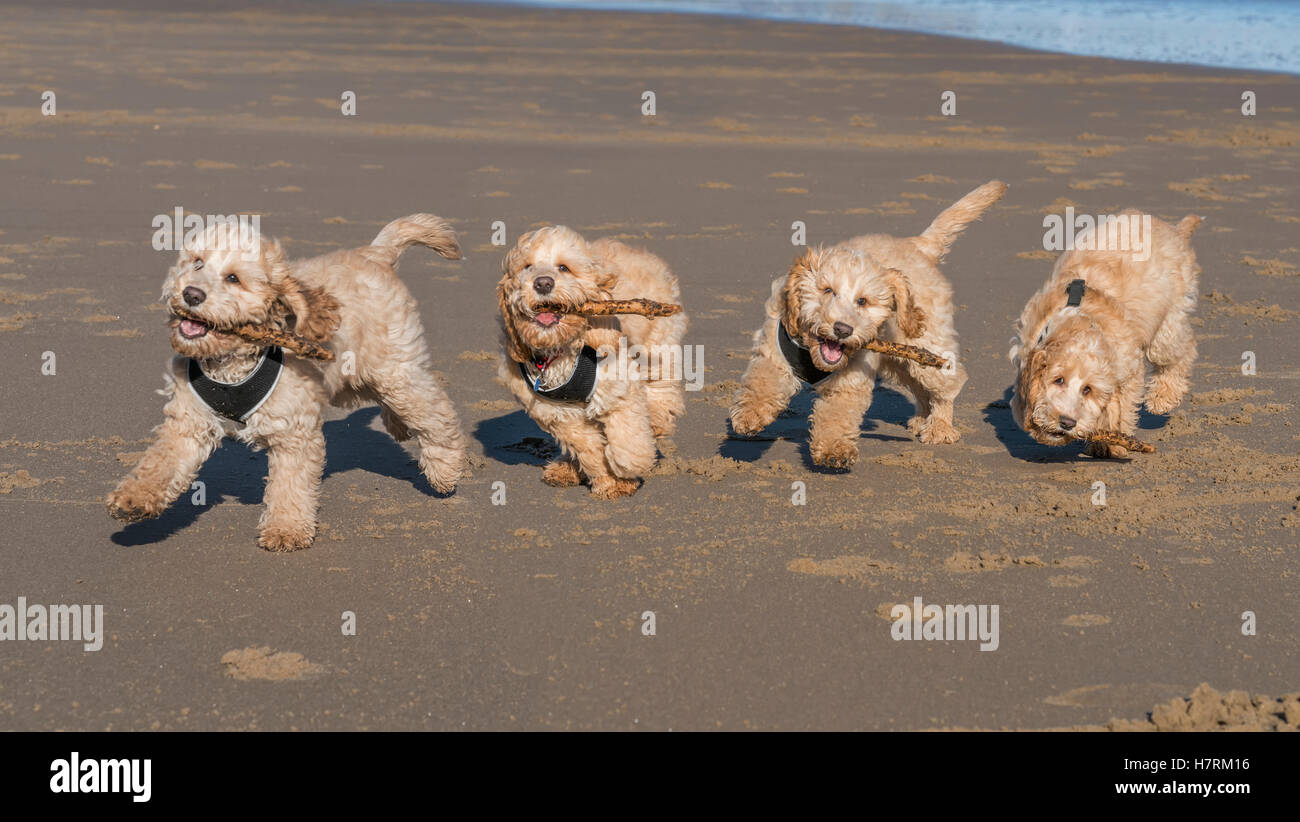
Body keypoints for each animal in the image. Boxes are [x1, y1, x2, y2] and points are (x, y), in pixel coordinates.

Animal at [109, 213, 470, 551]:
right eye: (196, 262)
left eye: (233, 278)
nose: (191, 293)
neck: (232, 361)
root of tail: (375, 254)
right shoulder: (188, 422)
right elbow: (161, 462)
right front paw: (133, 498)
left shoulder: (294, 433)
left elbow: (290, 485)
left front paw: (286, 530)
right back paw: (399, 427)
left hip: (393, 372)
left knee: (434, 410)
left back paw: (444, 468)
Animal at [491, 221, 686, 496]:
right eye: (527, 267)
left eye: (564, 267)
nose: (542, 283)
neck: (561, 350)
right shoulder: (555, 413)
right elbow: (588, 447)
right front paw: (609, 481)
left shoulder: (618, 388)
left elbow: (627, 438)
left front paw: (629, 468)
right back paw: (565, 468)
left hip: (657, 341)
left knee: (661, 384)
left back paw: (657, 421)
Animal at [1008, 208, 1201, 460]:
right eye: (1058, 380)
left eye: (1087, 389)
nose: (1067, 423)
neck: (1078, 319)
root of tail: (1173, 230)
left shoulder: (1128, 371)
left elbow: (1121, 409)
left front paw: (1112, 442)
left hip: (1167, 325)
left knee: (1184, 350)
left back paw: (1163, 398)